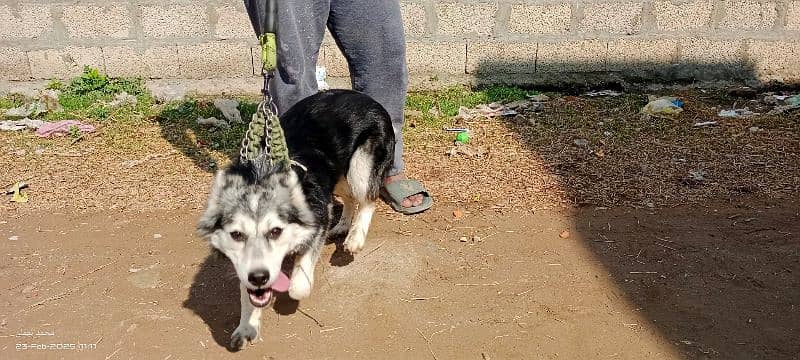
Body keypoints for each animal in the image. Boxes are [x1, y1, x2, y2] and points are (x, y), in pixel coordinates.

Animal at [195, 88, 394, 350]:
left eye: (275, 231)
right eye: (236, 235)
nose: (259, 277)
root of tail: (363, 96)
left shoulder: (316, 218)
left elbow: (299, 280)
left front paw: (297, 285)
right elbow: (248, 294)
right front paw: (247, 326)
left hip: (360, 168)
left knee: (368, 200)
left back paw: (355, 238)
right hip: (338, 175)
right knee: (349, 198)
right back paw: (342, 227)